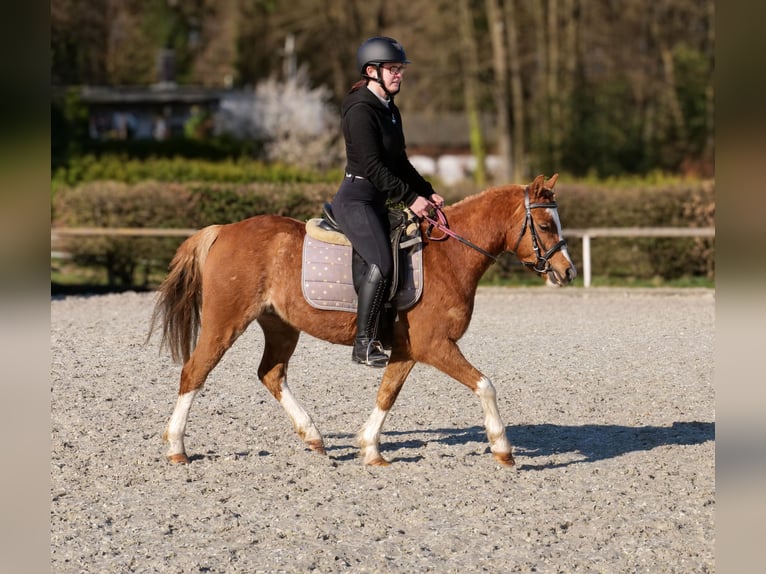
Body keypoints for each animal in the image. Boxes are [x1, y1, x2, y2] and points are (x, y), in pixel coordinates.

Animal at [149, 173, 576, 467]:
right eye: (544, 226)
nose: (567, 272)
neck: (451, 256)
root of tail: (224, 230)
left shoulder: (408, 349)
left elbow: (387, 393)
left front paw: (371, 449)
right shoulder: (435, 345)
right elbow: (485, 385)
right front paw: (503, 449)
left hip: (280, 325)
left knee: (271, 374)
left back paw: (314, 436)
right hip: (225, 322)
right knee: (195, 372)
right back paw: (177, 447)